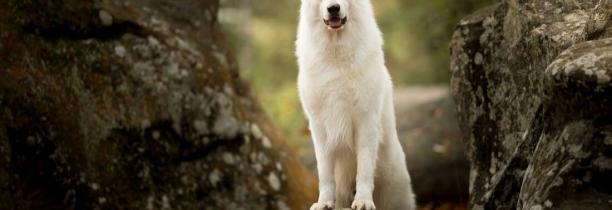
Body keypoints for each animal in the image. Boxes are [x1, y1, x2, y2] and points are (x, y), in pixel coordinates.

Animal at [296, 0, 416, 210]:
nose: (333, 8)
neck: (335, 51)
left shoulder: (365, 122)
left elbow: (365, 169)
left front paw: (363, 201)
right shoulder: (318, 126)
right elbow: (324, 173)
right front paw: (324, 202)